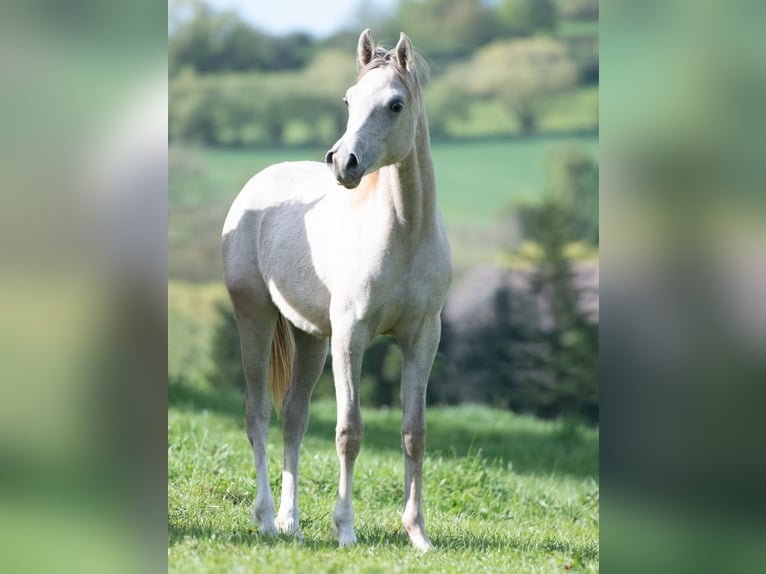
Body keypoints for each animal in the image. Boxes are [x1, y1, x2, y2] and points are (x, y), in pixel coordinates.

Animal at [222, 29, 452, 552]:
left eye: (395, 104)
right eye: (349, 99)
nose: (342, 162)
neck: (404, 232)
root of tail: (255, 189)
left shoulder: (423, 338)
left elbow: (415, 433)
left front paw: (418, 534)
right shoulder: (351, 336)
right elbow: (350, 431)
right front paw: (345, 530)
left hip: (309, 339)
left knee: (294, 418)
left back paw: (291, 522)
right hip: (255, 319)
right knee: (257, 415)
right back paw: (266, 519)